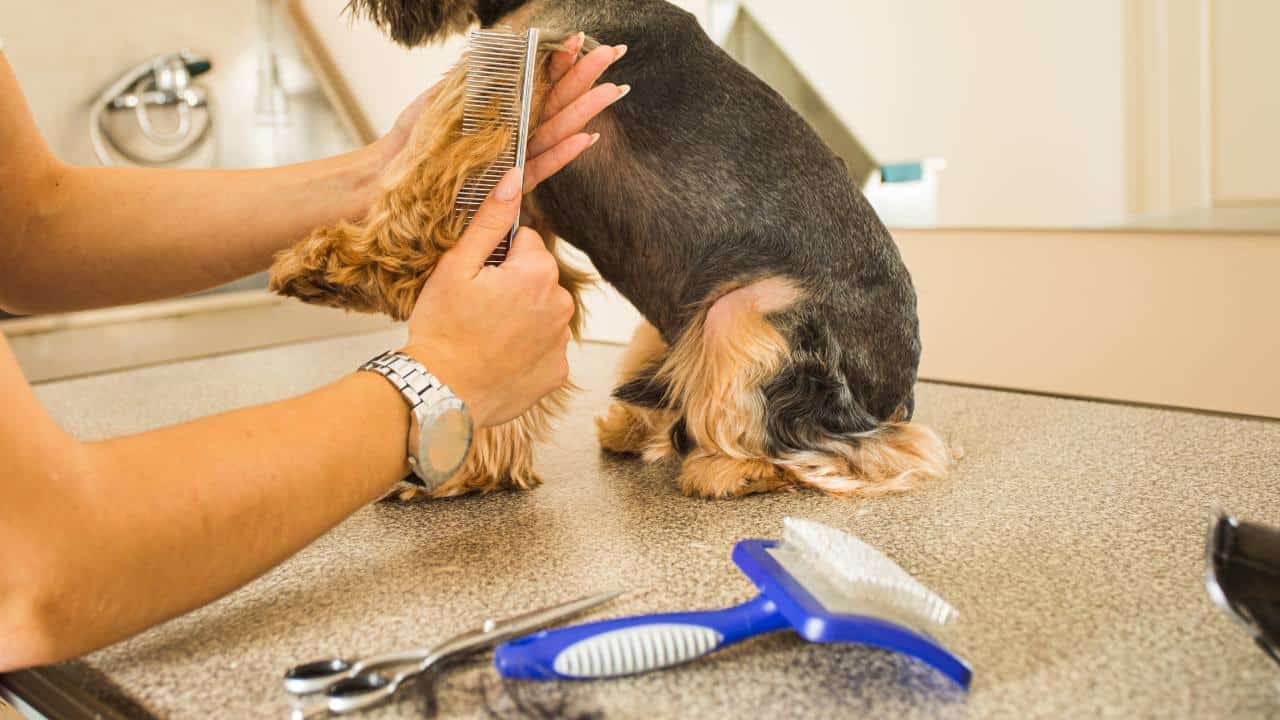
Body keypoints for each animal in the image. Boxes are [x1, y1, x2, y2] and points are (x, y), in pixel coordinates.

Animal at [270, 0, 957, 497]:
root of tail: (898, 391)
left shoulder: (523, 68)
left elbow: (423, 172)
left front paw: (338, 265)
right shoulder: (525, 189)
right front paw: (469, 468)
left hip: (751, 317)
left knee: (877, 447)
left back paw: (730, 469)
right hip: (669, 326)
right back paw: (634, 428)